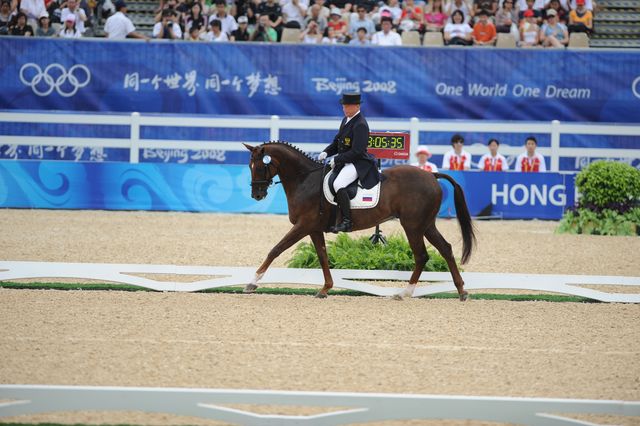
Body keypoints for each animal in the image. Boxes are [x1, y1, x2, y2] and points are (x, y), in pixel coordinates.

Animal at [242, 141, 472, 302]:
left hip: (413, 225)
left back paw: (404, 293)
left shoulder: (303, 225)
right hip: (426, 225)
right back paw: (461, 290)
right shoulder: (314, 229)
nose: (257, 195)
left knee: (422, 256)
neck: (305, 180)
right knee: (446, 249)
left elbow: (276, 249)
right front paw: (325, 289)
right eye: (249, 166)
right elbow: (323, 257)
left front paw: (252, 283)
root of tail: (432, 176)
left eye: (259, 167)